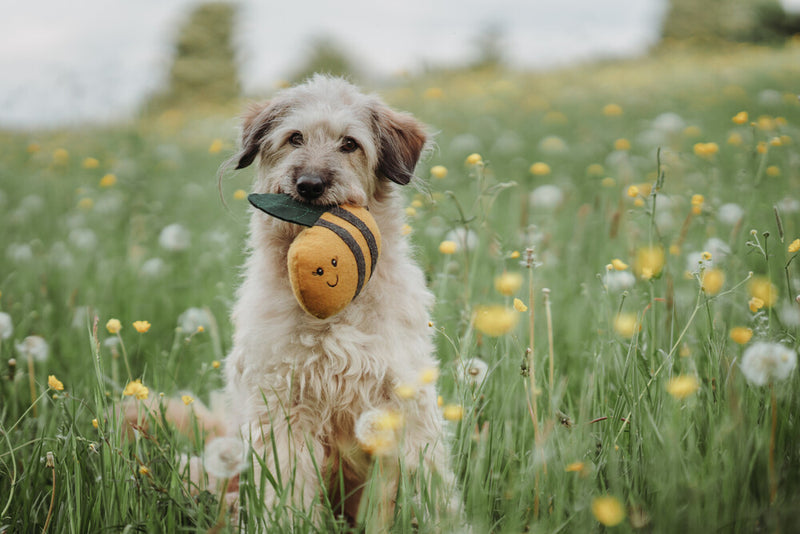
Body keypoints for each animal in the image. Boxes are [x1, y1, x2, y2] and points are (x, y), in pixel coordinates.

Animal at [220, 74, 456, 528]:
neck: (334, 316)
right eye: (295, 138)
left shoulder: (400, 403)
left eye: (350, 144)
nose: (310, 185)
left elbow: (418, 487)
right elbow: (288, 489)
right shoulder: (283, 409)